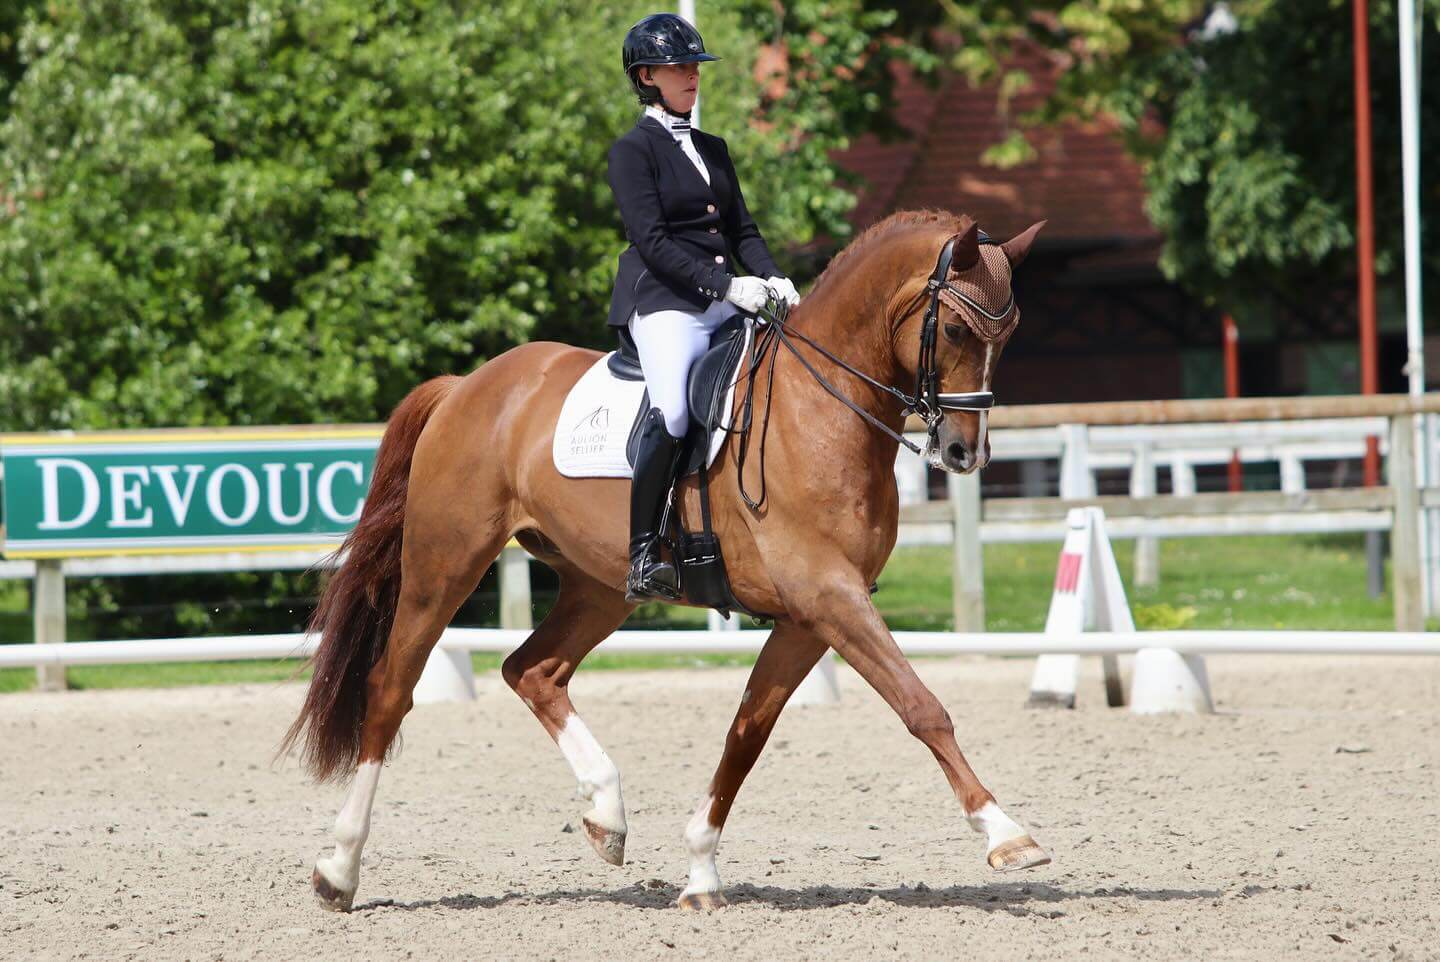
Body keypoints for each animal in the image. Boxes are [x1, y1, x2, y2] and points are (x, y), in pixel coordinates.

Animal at [280, 208, 1048, 910]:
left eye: (1009, 335)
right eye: (956, 330)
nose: (964, 454)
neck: (821, 411)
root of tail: (465, 385)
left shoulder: (811, 615)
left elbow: (747, 734)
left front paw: (701, 872)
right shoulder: (828, 596)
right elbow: (921, 706)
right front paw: (1007, 834)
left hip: (599, 586)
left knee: (533, 670)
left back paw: (605, 816)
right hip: (445, 563)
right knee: (391, 690)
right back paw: (339, 870)